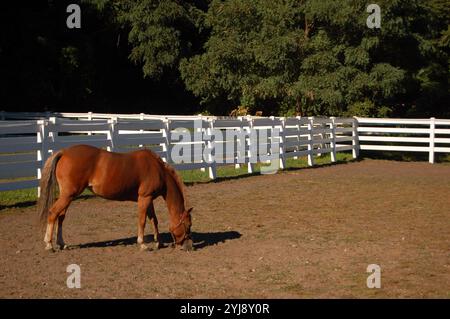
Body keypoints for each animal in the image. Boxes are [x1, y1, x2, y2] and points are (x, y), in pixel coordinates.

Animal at [37, 144, 193, 252]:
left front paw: (158, 242)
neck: (158, 170)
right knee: (53, 213)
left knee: (61, 216)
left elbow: (154, 220)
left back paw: (62, 243)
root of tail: (64, 152)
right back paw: (49, 244)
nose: (189, 247)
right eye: (188, 225)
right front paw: (143, 244)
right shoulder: (144, 198)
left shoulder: (149, 200)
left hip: (68, 196)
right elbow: (142, 221)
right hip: (68, 196)